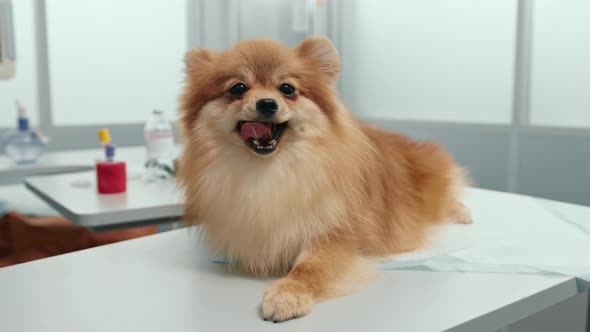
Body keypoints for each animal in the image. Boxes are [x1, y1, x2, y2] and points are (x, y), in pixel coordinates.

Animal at [176, 35, 472, 322]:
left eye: (287, 89)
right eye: (238, 88)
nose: (267, 103)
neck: (271, 172)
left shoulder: (336, 233)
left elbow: (310, 268)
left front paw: (288, 294)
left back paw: (462, 213)